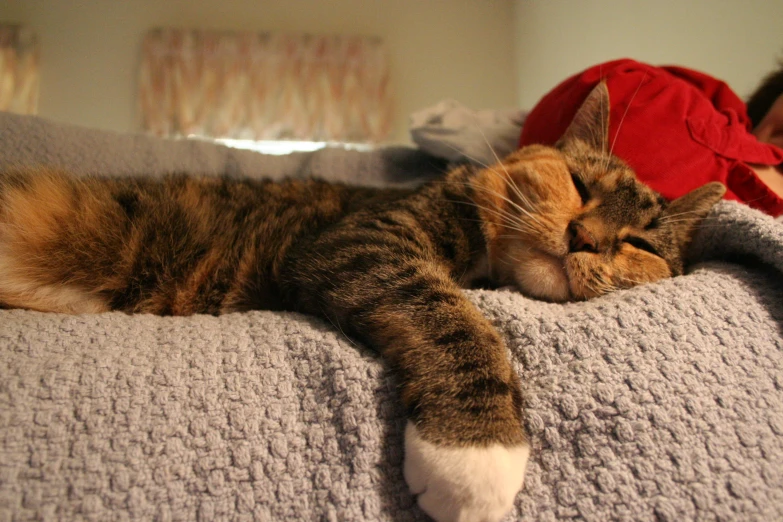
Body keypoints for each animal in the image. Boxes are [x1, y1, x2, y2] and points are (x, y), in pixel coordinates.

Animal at [0, 83, 724, 516]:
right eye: (577, 182)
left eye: (637, 243)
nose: (583, 237)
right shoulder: (362, 241)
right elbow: (452, 317)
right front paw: (476, 454)